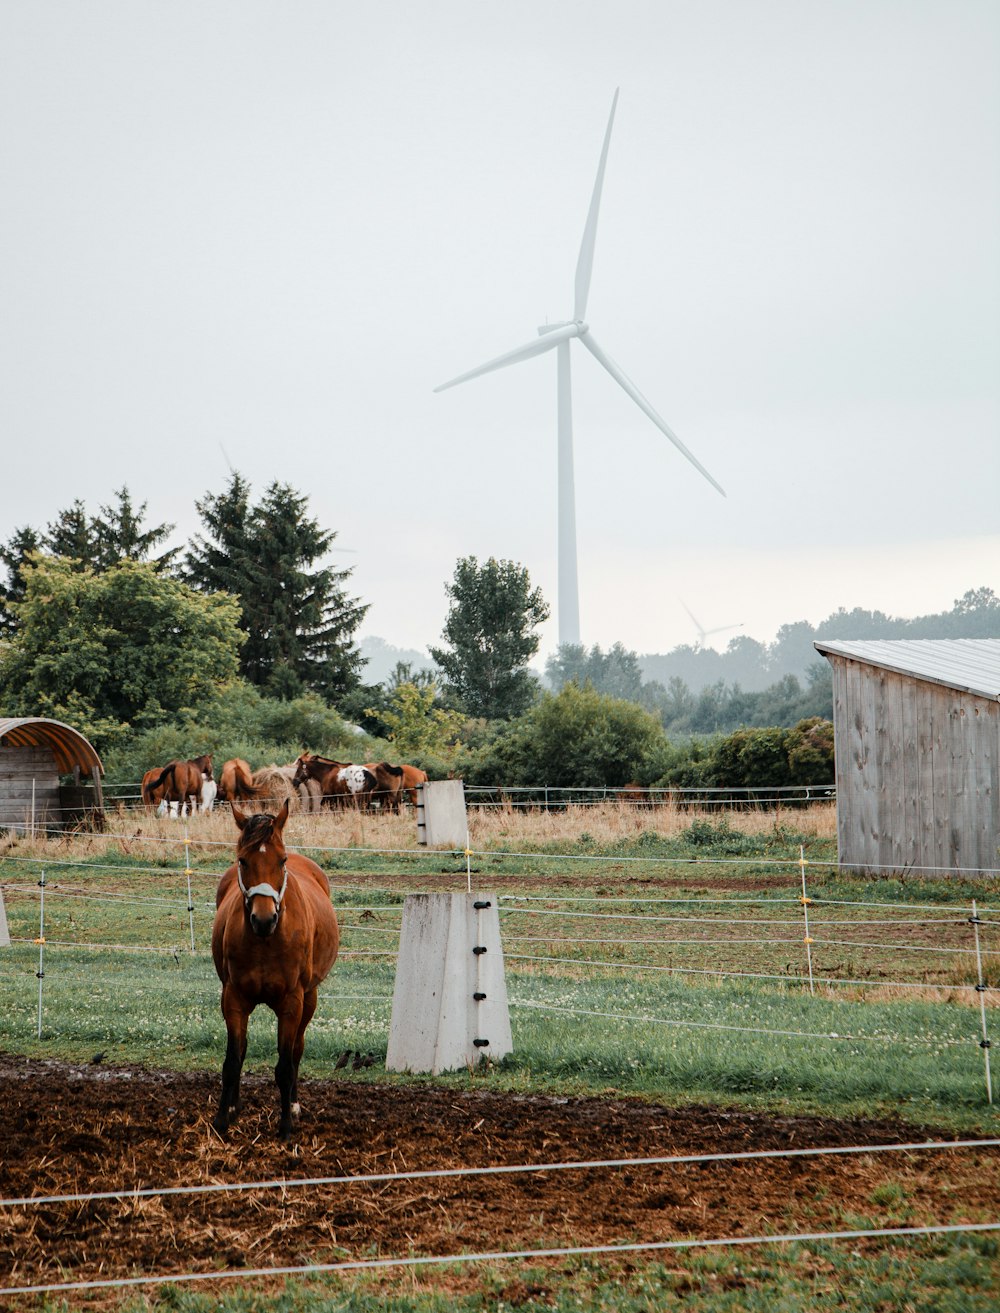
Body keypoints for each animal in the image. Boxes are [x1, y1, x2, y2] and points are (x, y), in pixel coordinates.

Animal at [209, 798, 338, 1139]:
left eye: (281, 861)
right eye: (243, 861)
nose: (264, 919)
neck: (266, 942)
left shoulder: (292, 1003)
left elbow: (285, 1064)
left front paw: (285, 1125)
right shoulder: (233, 999)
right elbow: (233, 1060)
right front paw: (223, 1118)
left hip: (310, 998)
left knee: (296, 1052)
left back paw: (292, 1105)